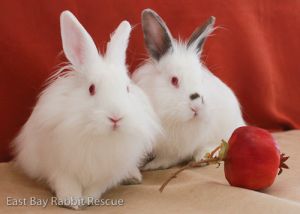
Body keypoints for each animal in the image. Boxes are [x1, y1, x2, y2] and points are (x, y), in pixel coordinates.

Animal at [12, 10, 161, 209]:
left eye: (127, 88)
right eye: (91, 89)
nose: (116, 117)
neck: (95, 133)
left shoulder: (107, 172)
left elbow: (96, 188)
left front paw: (87, 200)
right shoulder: (59, 167)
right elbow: (66, 184)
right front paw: (72, 201)